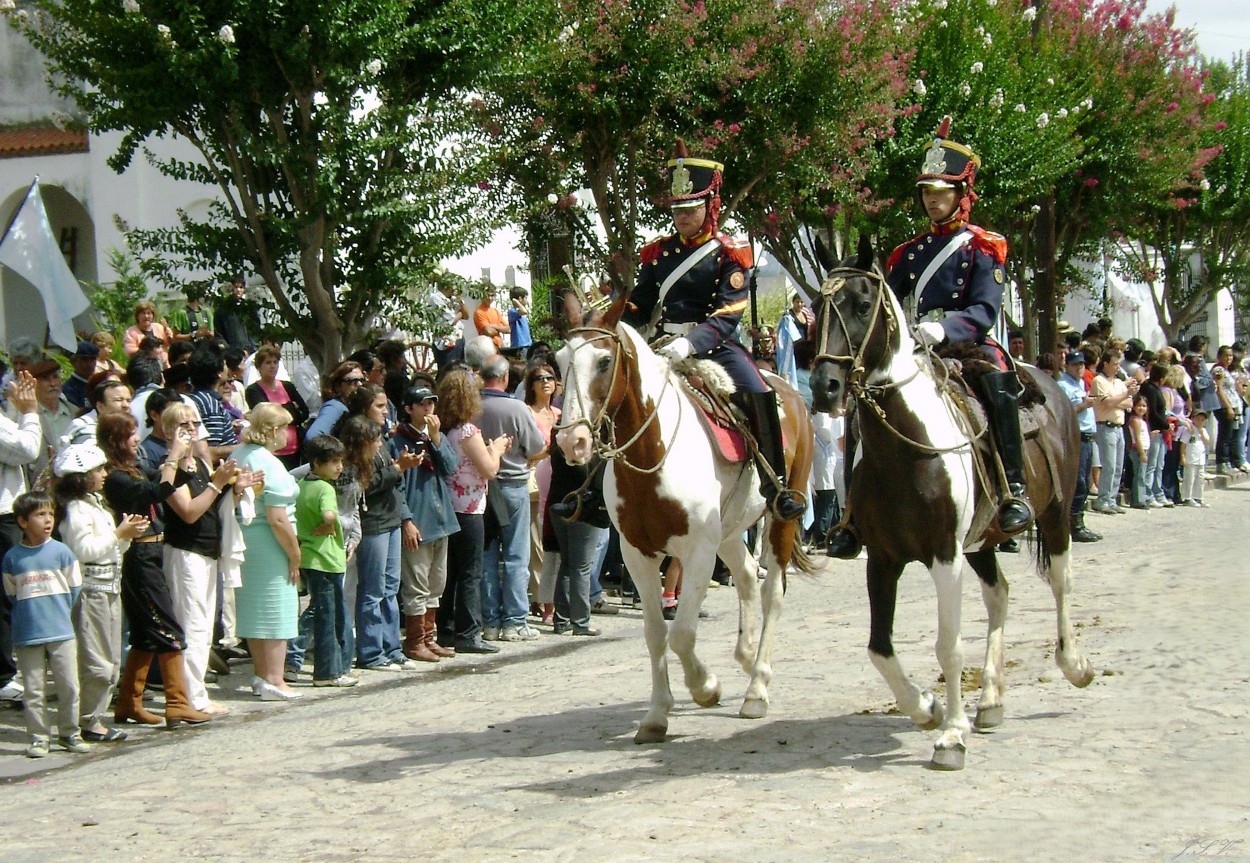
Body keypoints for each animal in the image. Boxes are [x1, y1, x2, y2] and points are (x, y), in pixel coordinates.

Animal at [560, 297, 815, 740]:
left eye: (605, 361)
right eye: (560, 360)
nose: (569, 440)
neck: (654, 454)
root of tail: (785, 387)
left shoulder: (697, 551)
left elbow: (681, 634)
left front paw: (706, 687)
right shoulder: (638, 554)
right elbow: (655, 634)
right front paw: (656, 714)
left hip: (779, 516)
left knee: (772, 591)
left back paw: (757, 687)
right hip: (729, 530)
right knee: (746, 575)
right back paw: (746, 655)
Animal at [810, 235, 1095, 765]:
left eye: (863, 304)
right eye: (817, 307)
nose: (825, 387)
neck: (904, 449)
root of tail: (1048, 382)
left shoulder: (945, 554)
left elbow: (949, 646)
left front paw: (951, 736)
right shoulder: (882, 558)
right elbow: (879, 647)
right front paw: (928, 708)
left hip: (1055, 514)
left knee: (1061, 582)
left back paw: (1074, 664)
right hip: (982, 540)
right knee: (1000, 594)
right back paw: (992, 700)